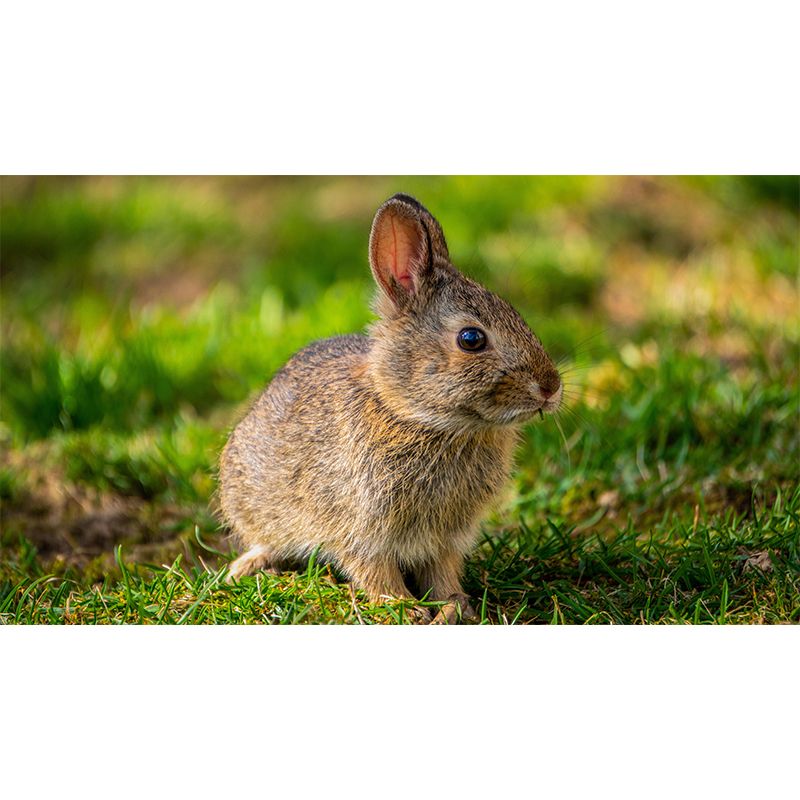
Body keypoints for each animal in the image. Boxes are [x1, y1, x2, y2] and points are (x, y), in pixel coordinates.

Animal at [218, 193, 562, 623]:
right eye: (471, 339)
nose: (551, 387)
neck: (418, 417)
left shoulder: (445, 538)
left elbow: (442, 571)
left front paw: (455, 606)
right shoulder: (359, 528)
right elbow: (374, 570)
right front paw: (403, 608)